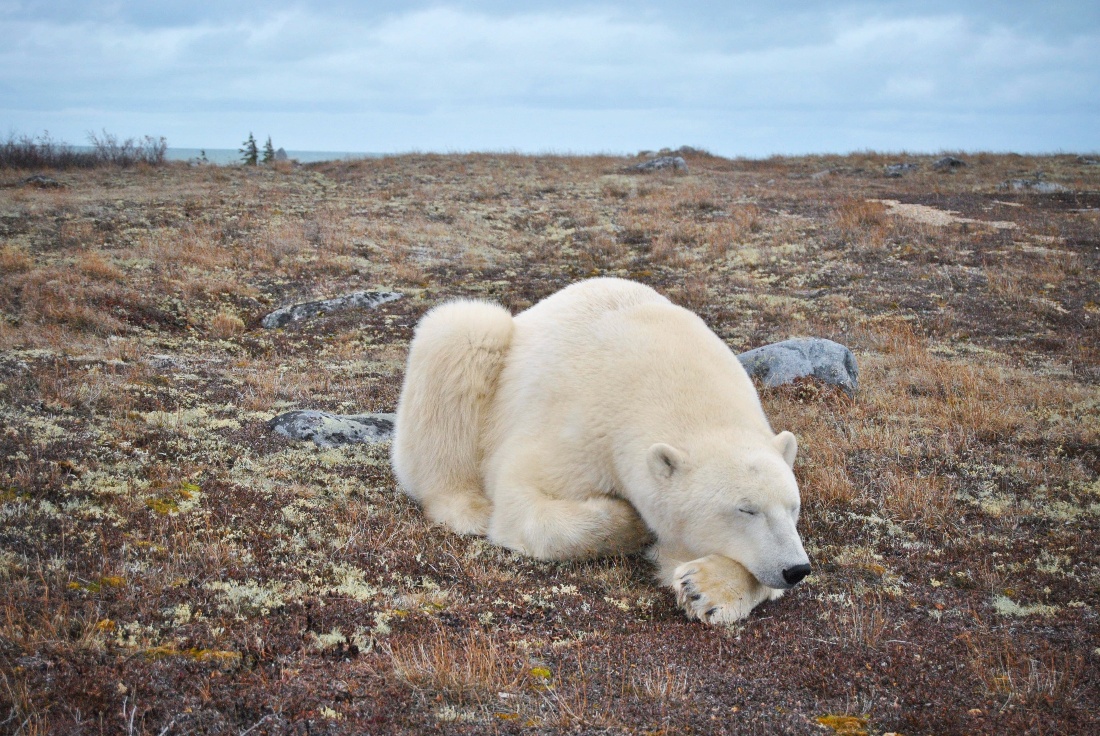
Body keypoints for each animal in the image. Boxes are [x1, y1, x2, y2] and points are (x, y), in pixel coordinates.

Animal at [391, 278, 814, 624]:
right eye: (746, 509)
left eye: (793, 507)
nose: (796, 569)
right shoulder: (580, 425)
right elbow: (523, 498)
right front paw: (630, 522)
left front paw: (705, 588)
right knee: (462, 335)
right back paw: (467, 506)